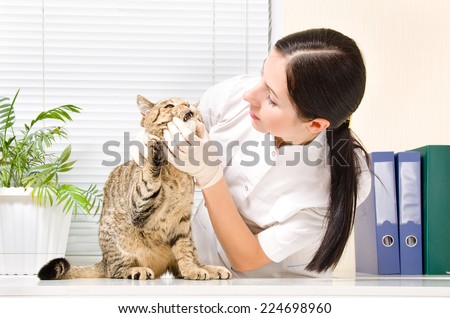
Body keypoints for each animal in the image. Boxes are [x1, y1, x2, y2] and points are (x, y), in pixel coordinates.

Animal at [38, 95, 232, 280]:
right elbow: (148, 177)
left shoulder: (182, 221)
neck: (176, 171)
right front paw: (152, 149)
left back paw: (210, 268)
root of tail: (104, 260)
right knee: (115, 271)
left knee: (185, 262)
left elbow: (185, 252)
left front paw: (192, 269)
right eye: (169, 106)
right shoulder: (139, 205)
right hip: (118, 243)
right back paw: (136, 270)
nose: (188, 106)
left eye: (188, 103)